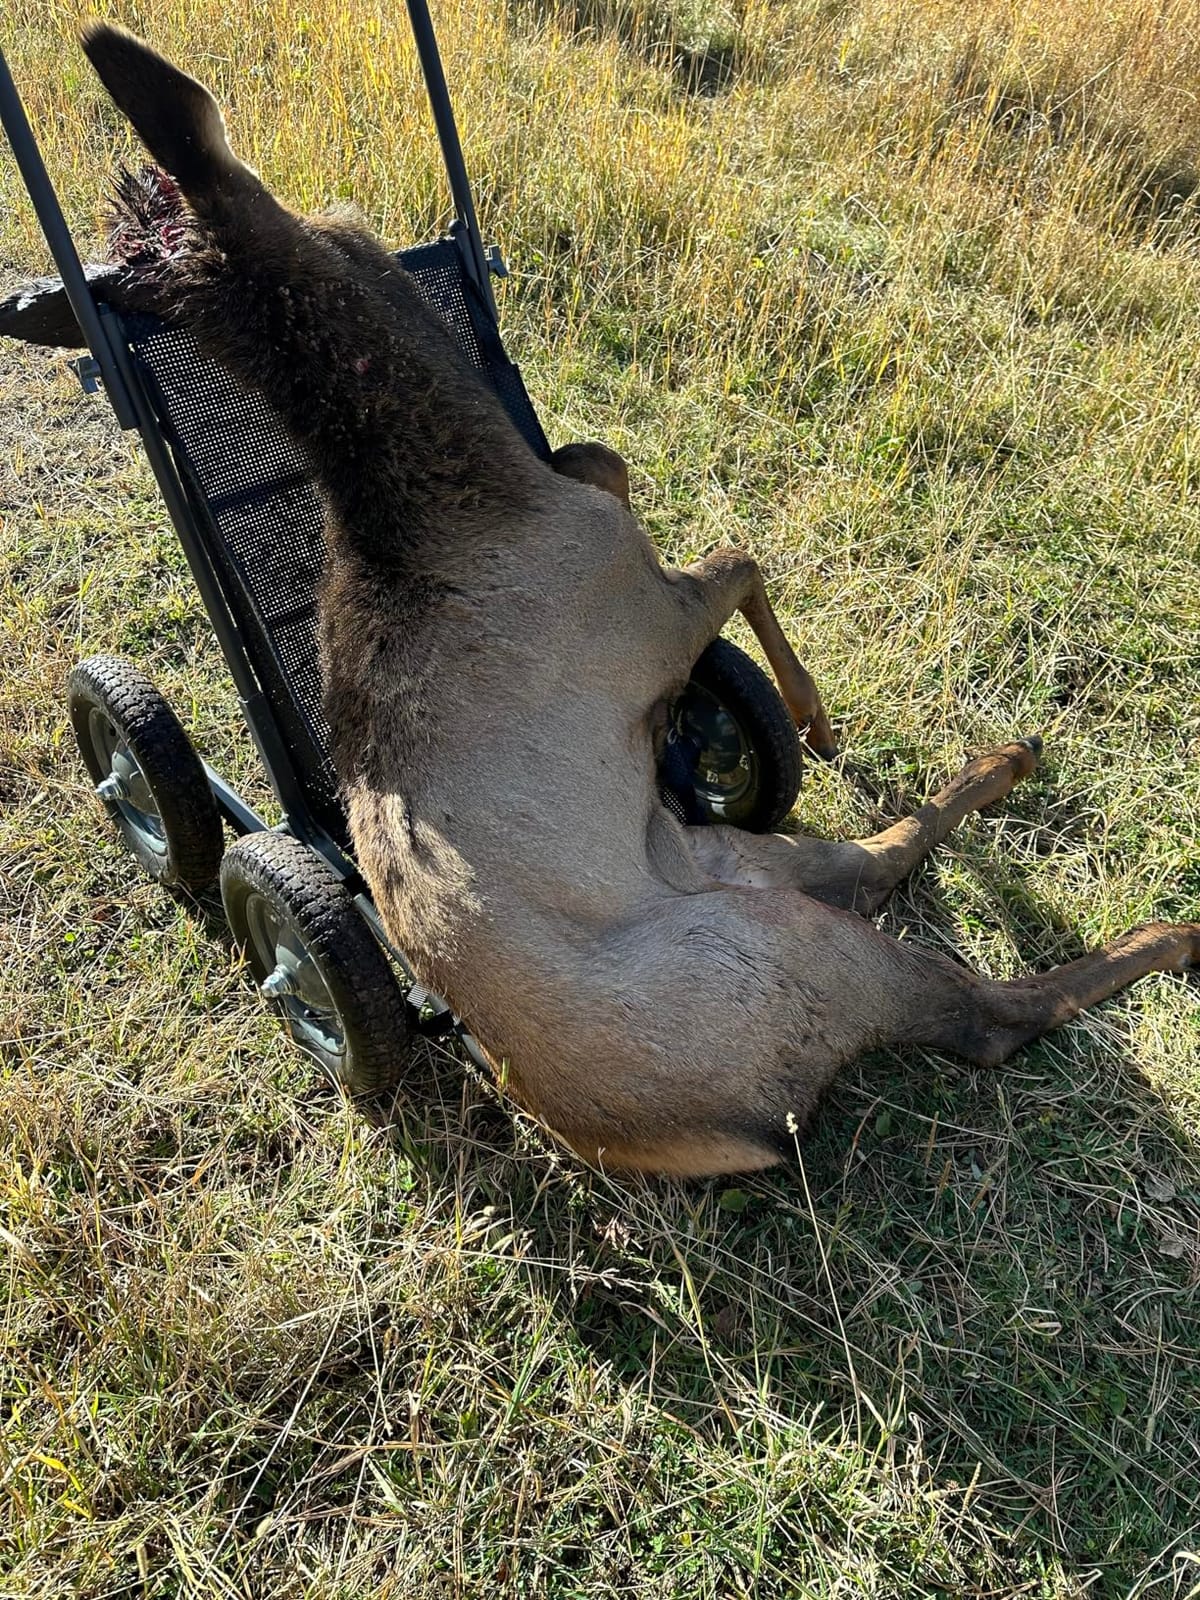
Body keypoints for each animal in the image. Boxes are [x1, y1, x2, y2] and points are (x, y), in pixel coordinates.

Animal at [76, 26, 1198, 1176]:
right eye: (341, 219)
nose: (369, 228)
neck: (457, 491)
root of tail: (671, 1142)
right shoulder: (645, 612)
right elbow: (738, 551)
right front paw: (812, 712)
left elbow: (597, 452)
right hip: (789, 959)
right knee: (980, 1011)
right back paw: (1168, 932)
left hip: (739, 857)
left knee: (877, 857)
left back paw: (1012, 761)